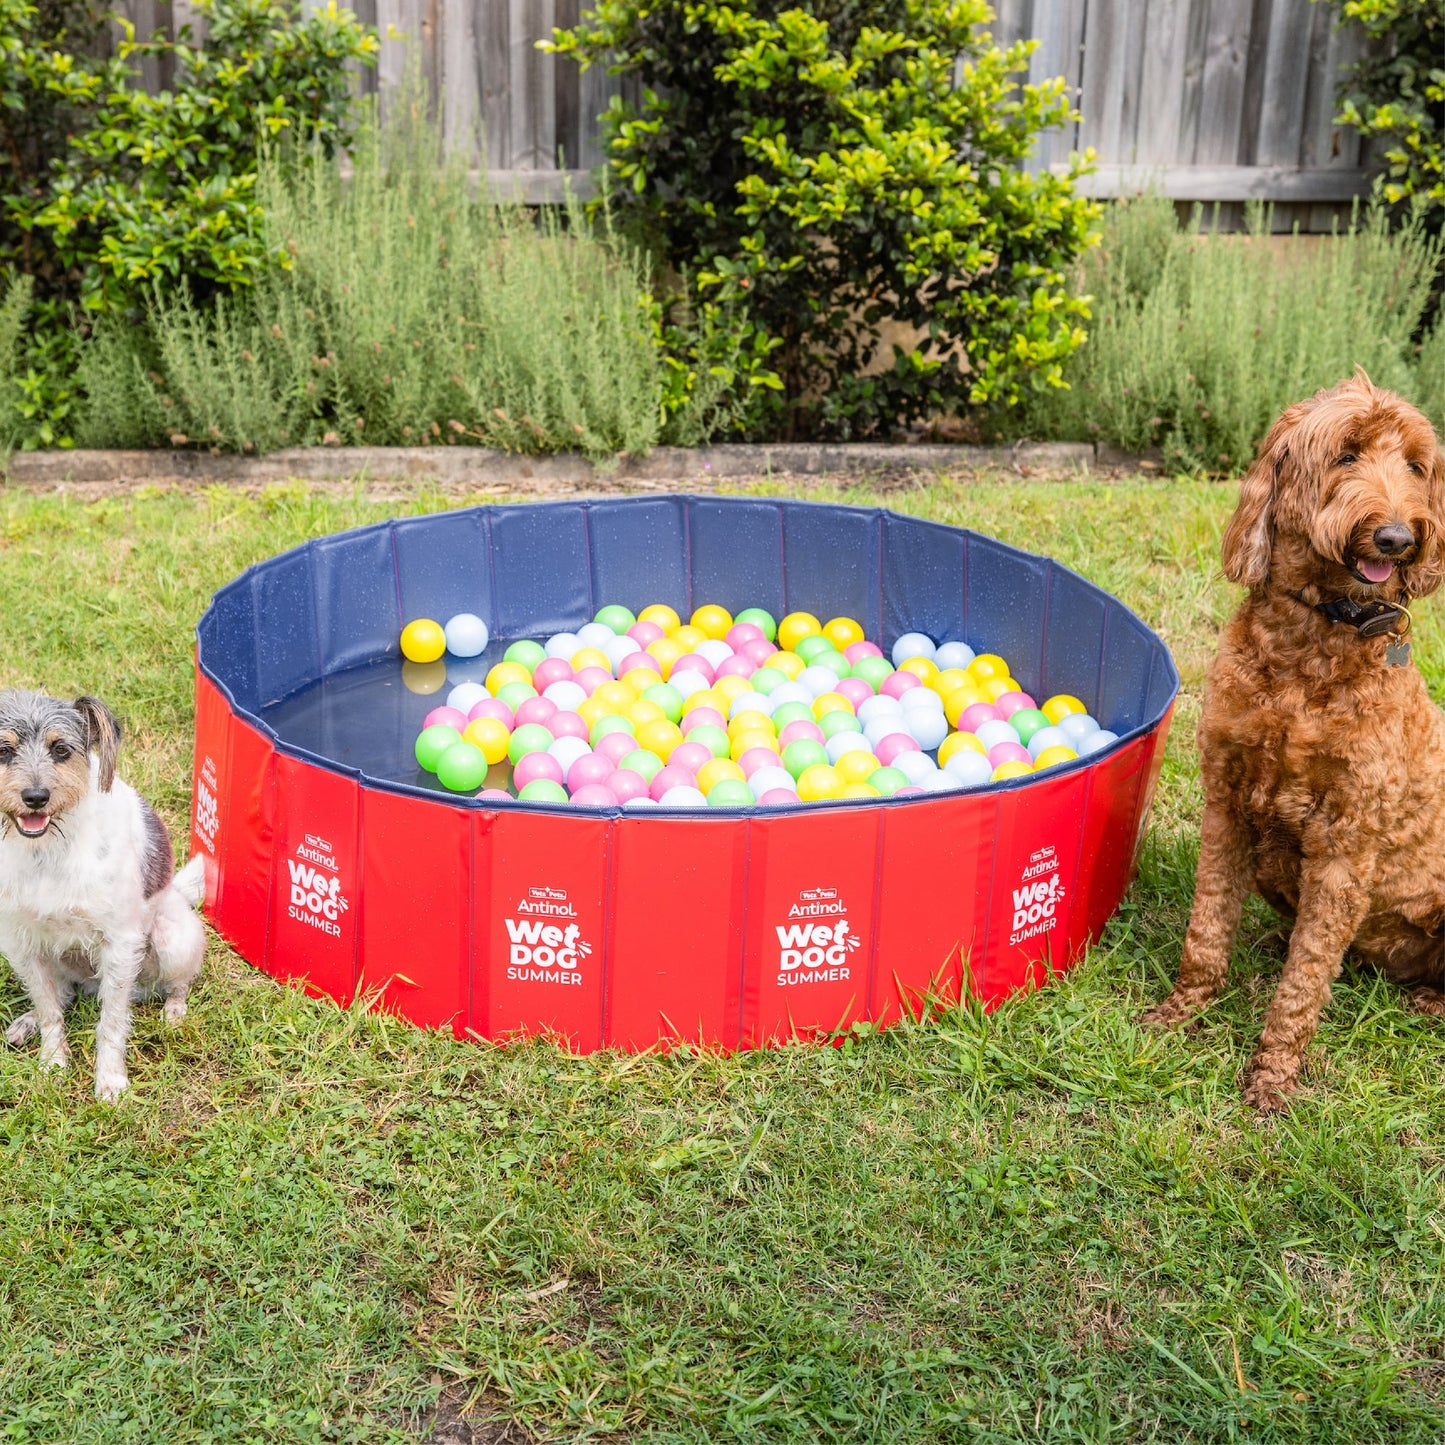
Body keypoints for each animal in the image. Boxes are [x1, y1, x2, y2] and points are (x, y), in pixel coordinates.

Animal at [1144, 369, 1439, 1103]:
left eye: (1415, 466)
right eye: (1345, 454)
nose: (1397, 537)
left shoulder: (1346, 845)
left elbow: (1305, 981)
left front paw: (1273, 1076)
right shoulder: (1225, 802)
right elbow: (1206, 926)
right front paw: (1182, 1010)